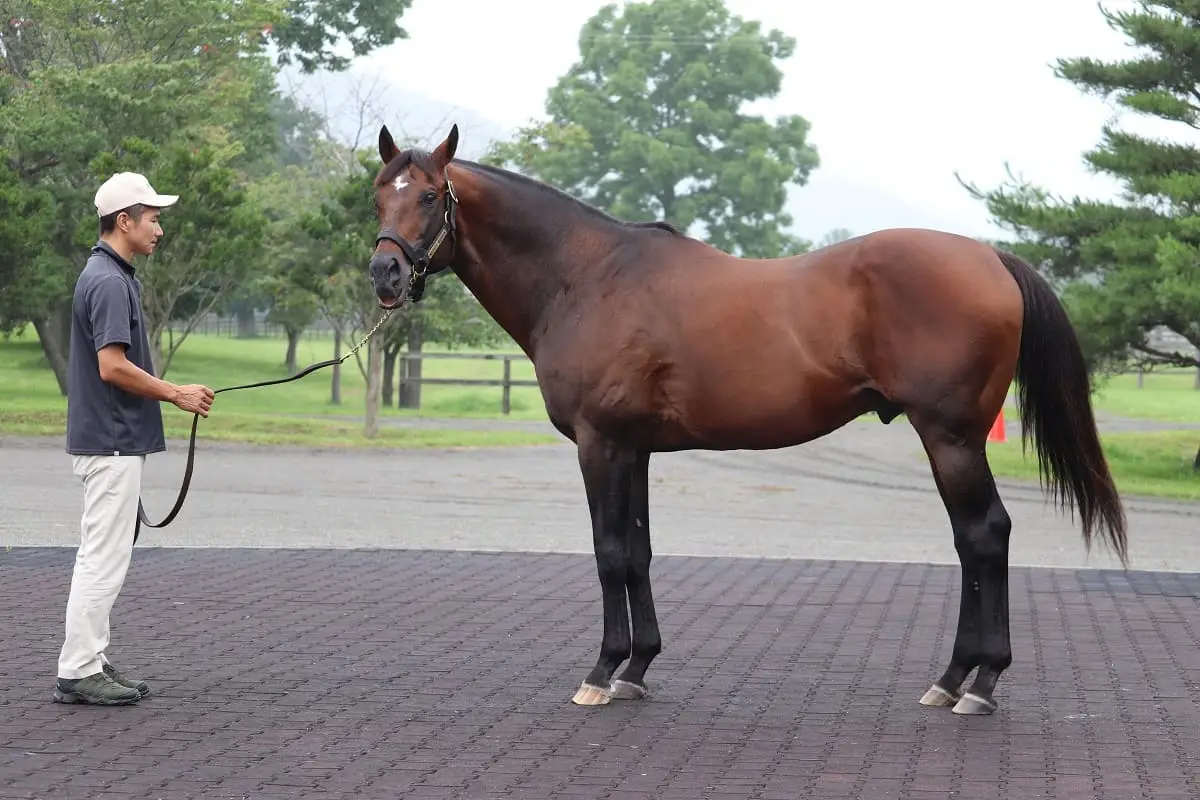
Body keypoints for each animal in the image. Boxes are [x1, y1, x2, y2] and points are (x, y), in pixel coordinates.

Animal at [364, 122, 1123, 714]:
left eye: (429, 195)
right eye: (377, 194)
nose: (385, 275)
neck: (587, 277)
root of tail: (989, 256)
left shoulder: (599, 444)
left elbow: (608, 552)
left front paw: (601, 673)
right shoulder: (634, 448)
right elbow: (637, 551)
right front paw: (637, 669)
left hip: (951, 436)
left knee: (984, 536)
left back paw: (976, 683)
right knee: (974, 542)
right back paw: (957, 678)